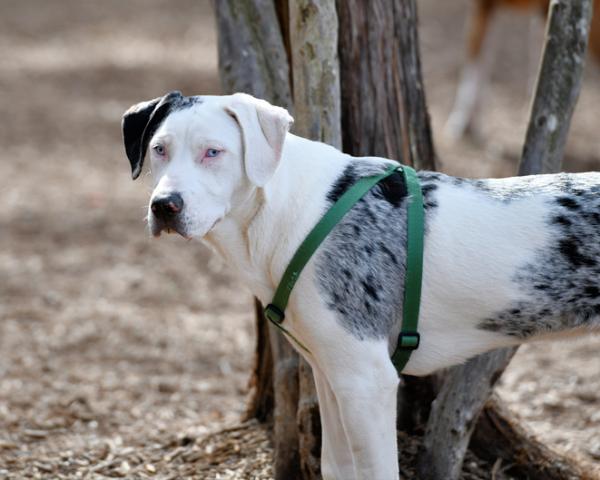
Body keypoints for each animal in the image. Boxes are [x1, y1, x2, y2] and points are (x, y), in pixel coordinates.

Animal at [122, 92, 600, 478]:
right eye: (159, 149)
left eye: (213, 152)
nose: (165, 206)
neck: (295, 211)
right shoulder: (331, 372)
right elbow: (337, 466)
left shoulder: (367, 379)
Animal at [446, 0, 600, 140]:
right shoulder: (490, 8)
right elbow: (484, 66)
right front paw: (473, 123)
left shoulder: (483, 6)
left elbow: (472, 70)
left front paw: (461, 123)